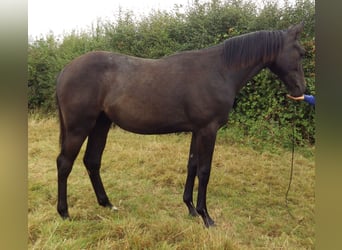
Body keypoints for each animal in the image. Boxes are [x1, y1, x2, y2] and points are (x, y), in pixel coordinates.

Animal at [56, 23, 308, 227]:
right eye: (301, 53)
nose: (300, 90)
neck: (219, 71)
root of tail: (66, 69)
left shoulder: (197, 130)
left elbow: (192, 165)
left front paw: (190, 209)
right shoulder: (208, 130)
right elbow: (205, 170)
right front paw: (206, 216)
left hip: (101, 124)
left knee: (92, 161)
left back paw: (107, 204)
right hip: (79, 127)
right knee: (64, 163)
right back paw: (64, 213)